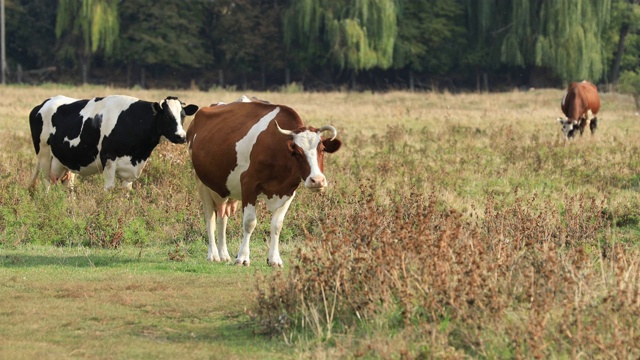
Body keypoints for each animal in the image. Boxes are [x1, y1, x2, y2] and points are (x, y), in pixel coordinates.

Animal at [28, 95, 198, 191]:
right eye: (167, 116)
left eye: (183, 115)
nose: (181, 136)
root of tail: (44, 103)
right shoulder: (108, 159)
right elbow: (109, 189)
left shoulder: (130, 169)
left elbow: (126, 191)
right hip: (44, 156)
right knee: (46, 183)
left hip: (65, 162)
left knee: (68, 185)